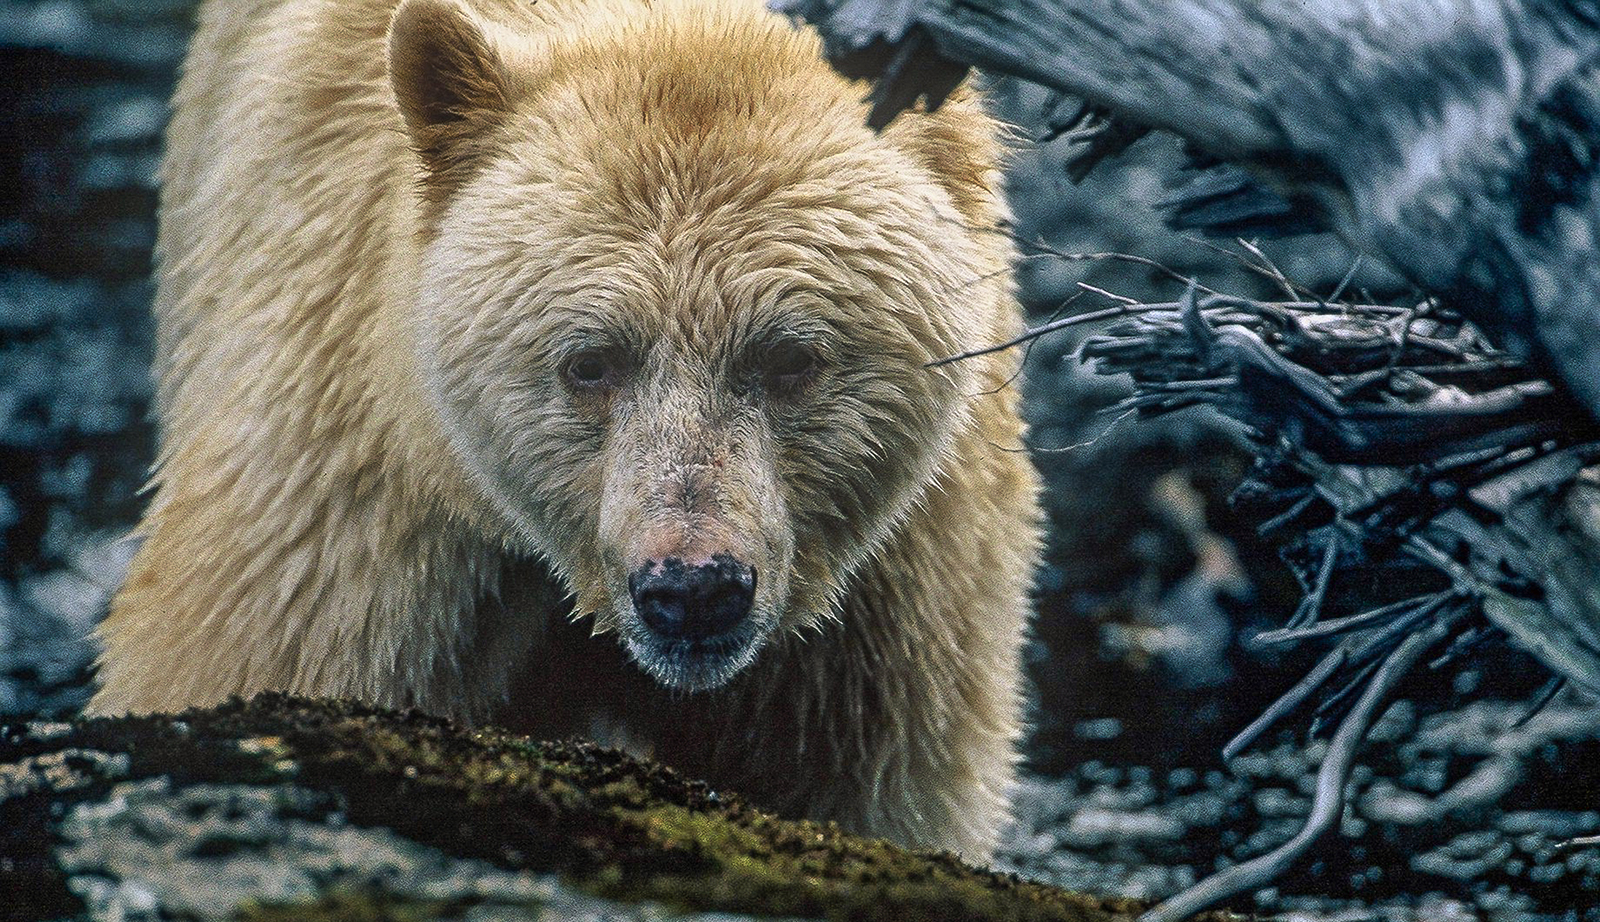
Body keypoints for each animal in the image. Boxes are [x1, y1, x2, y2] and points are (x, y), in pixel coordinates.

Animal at [89, 0, 1042, 859]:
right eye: (591, 360)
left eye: (789, 357)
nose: (693, 586)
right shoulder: (363, 491)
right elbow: (265, 642)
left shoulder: (887, 598)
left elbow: (864, 777)